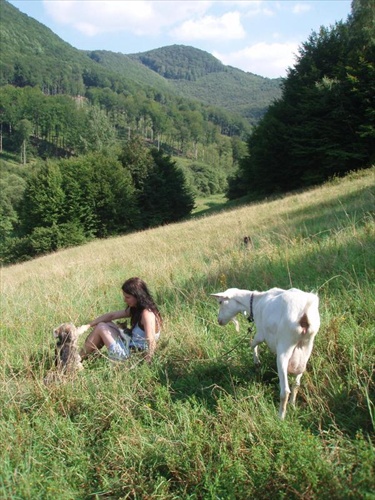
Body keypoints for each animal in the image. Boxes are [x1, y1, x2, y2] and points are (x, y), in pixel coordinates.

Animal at [212, 288, 320, 420]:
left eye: (220, 302)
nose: (219, 320)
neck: (256, 301)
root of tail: (304, 311)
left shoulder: (261, 333)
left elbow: (252, 344)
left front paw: (257, 362)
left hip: (285, 346)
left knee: (285, 391)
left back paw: (280, 417)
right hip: (306, 348)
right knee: (296, 384)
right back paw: (292, 405)